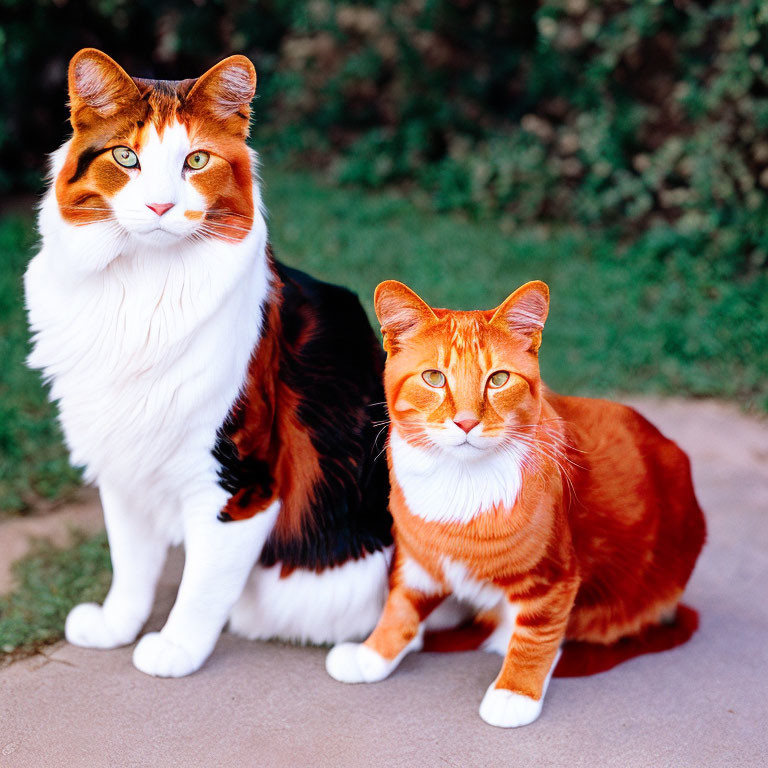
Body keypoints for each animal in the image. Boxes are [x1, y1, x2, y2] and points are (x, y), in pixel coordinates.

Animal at [26, 46, 392, 680]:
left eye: (195, 161)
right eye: (126, 157)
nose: (160, 205)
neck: (140, 292)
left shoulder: (238, 479)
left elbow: (202, 584)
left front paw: (175, 648)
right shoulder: (124, 458)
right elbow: (131, 563)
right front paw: (116, 625)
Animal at [328, 280, 704, 728]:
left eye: (499, 379)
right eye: (434, 378)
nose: (466, 422)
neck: (458, 484)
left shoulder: (553, 577)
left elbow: (538, 633)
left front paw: (516, 691)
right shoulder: (419, 559)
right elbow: (399, 606)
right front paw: (372, 654)